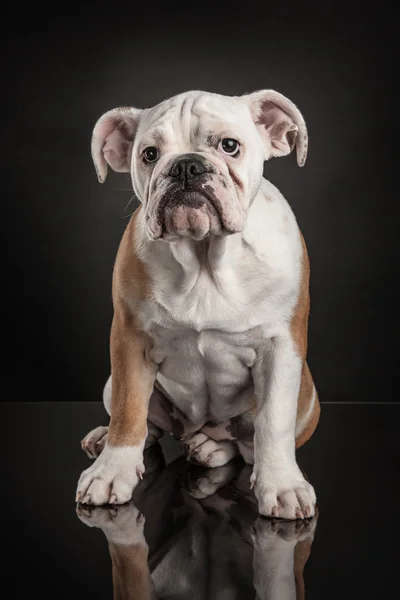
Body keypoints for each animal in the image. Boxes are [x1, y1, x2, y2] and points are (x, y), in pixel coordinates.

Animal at [76, 88, 322, 520]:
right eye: (150, 154)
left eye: (230, 146)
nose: (186, 166)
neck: (204, 258)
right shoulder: (129, 341)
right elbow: (128, 409)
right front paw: (111, 470)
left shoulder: (280, 347)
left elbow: (272, 422)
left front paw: (282, 486)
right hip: (113, 384)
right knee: (149, 425)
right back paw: (108, 439)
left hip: (306, 402)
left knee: (242, 446)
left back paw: (211, 447)